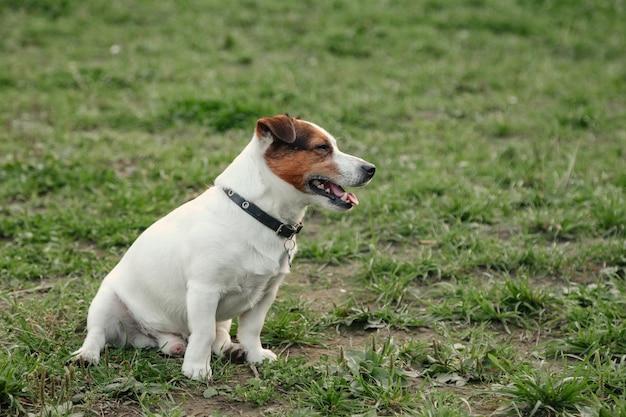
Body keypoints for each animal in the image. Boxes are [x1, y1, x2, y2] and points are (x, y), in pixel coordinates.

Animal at [73, 114, 376, 380]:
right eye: (322, 148)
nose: (371, 169)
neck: (255, 214)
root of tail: (155, 335)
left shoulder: (266, 293)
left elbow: (250, 330)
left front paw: (255, 355)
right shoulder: (204, 290)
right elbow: (204, 332)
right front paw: (196, 369)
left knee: (212, 335)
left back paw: (223, 349)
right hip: (106, 302)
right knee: (98, 334)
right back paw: (87, 355)